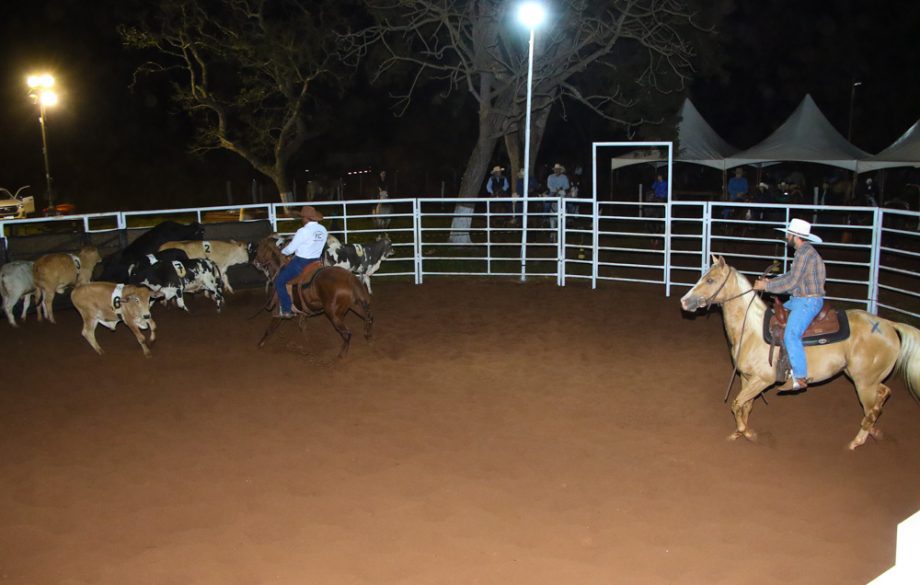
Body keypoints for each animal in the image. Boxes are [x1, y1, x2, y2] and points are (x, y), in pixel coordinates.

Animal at [680, 253, 916, 450]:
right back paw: (874, 431)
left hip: (864, 382)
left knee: (870, 409)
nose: (684, 301)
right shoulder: (747, 378)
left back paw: (856, 441)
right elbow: (745, 406)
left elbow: (737, 404)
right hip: (864, 378)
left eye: (710, 280)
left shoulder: (762, 380)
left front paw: (747, 433)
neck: (751, 330)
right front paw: (739, 433)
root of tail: (888, 324)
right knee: (883, 395)